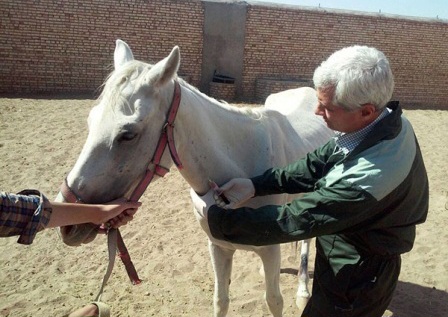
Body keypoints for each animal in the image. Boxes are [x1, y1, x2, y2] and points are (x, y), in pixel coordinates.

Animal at [57, 40, 334, 314]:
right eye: (90, 120)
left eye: (128, 134)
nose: (69, 225)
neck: (241, 162)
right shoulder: (218, 248)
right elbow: (221, 300)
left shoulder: (269, 253)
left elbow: (274, 300)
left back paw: (303, 291)